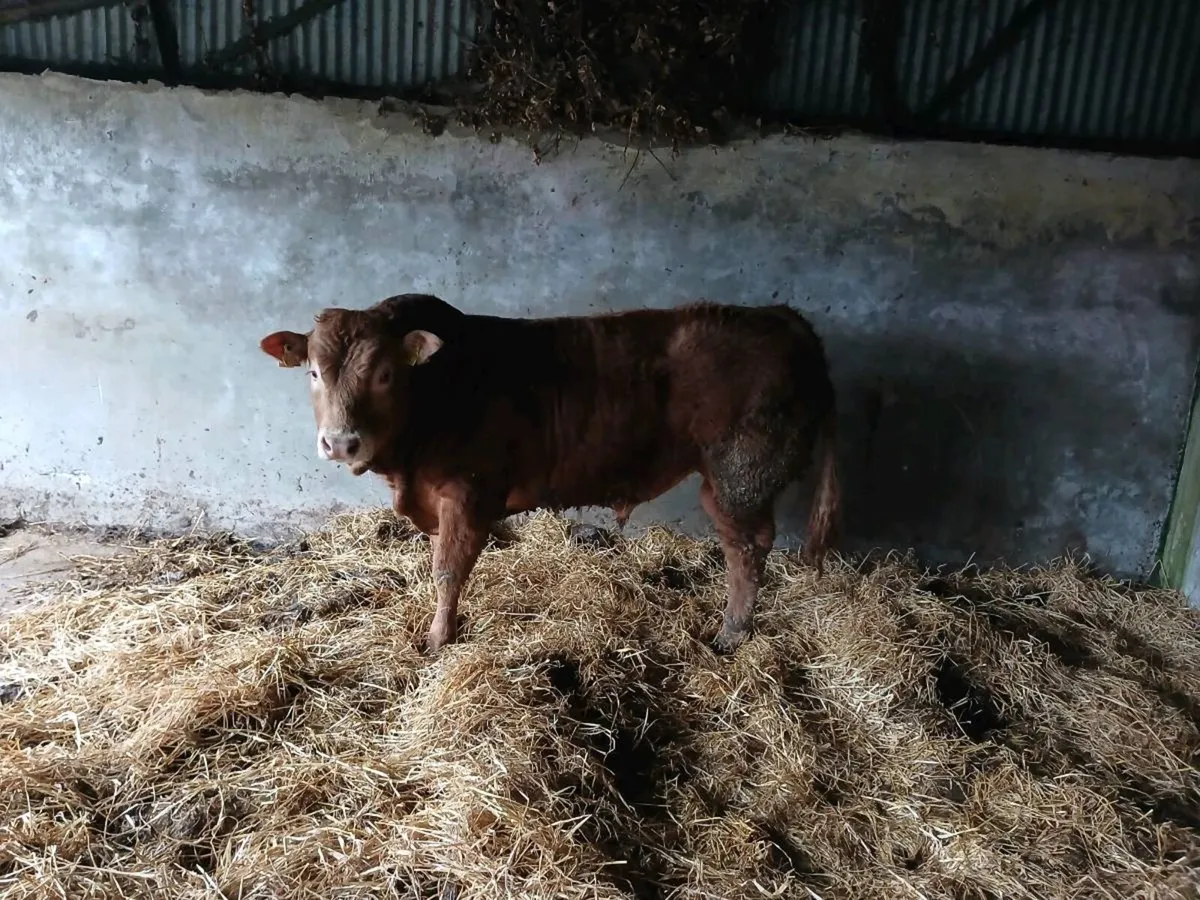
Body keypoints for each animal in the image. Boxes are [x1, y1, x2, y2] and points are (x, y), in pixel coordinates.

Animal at [259, 293, 840, 654]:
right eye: (314, 372)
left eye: (383, 373)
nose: (340, 441)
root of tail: (780, 317)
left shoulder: (468, 493)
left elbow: (448, 571)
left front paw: (438, 640)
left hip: (737, 475)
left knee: (747, 548)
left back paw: (732, 633)